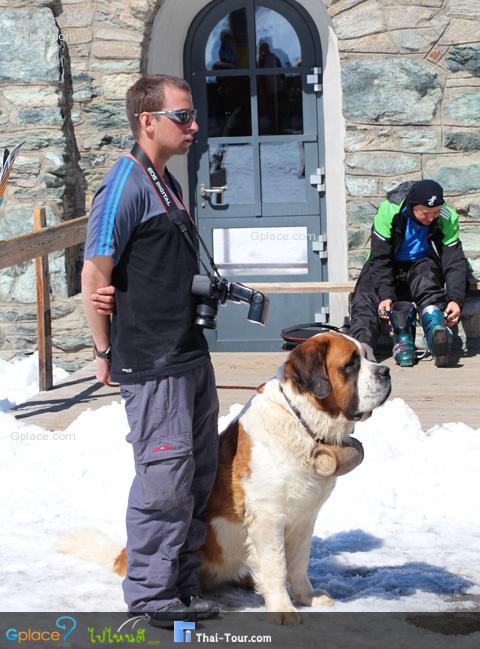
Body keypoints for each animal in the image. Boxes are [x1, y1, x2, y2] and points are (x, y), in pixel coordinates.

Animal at [115, 334, 390, 624]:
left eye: (368, 356)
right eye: (351, 364)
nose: (386, 371)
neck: (301, 422)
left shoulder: (305, 518)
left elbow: (298, 563)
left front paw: (308, 597)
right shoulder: (268, 519)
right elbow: (277, 565)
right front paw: (282, 608)